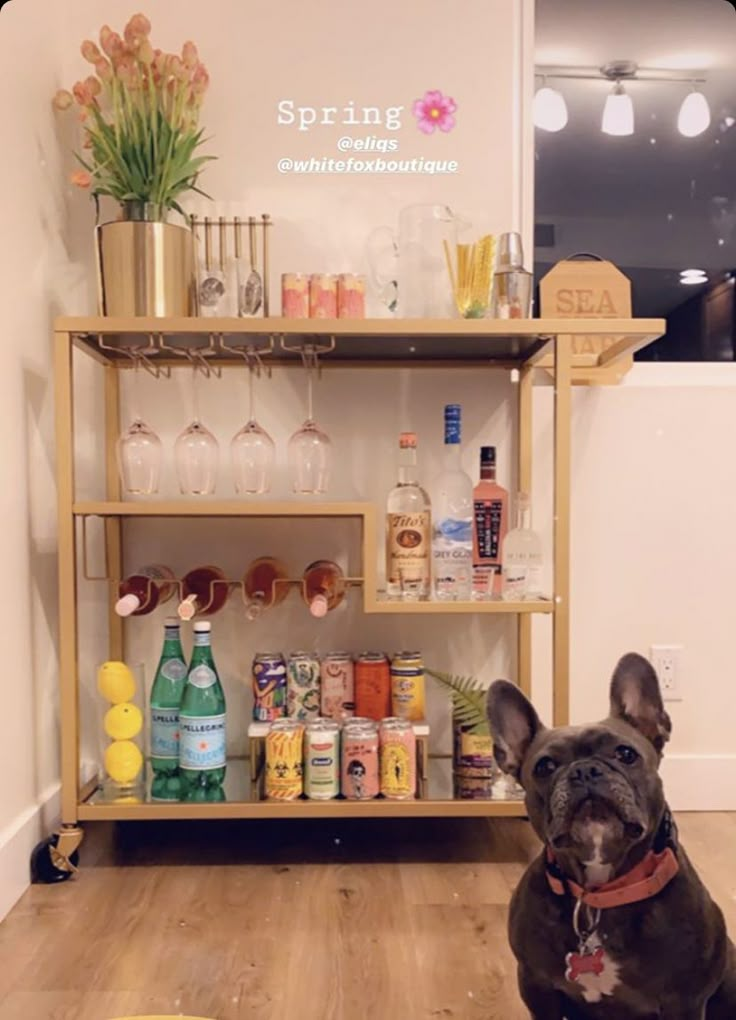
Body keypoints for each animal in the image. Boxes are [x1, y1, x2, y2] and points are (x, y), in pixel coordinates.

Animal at [487, 652, 733, 1020]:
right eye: (544, 767)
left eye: (626, 754)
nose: (585, 769)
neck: (602, 895)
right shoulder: (536, 986)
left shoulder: (685, 1001)